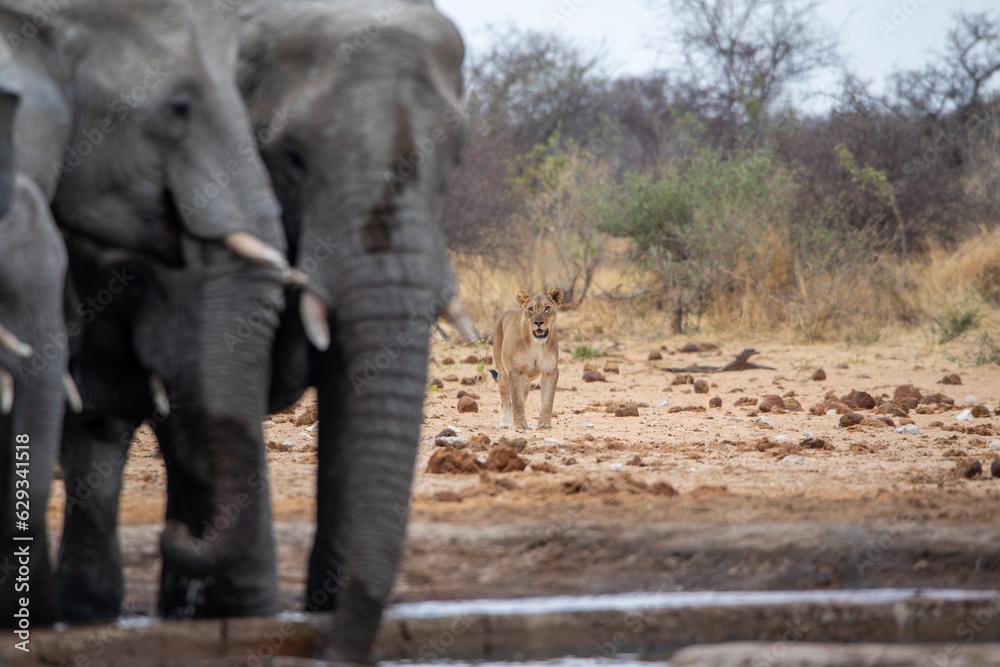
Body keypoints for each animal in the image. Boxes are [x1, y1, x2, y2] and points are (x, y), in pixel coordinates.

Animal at [489, 287, 563, 430]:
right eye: (530, 309)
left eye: (547, 308)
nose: (538, 323)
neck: (537, 343)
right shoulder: (515, 371)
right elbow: (517, 401)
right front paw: (518, 425)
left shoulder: (550, 371)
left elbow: (548, 400)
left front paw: (544, 425)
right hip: (503, 373)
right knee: (506, 400)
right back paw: (505, 423)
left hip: (526, 382)